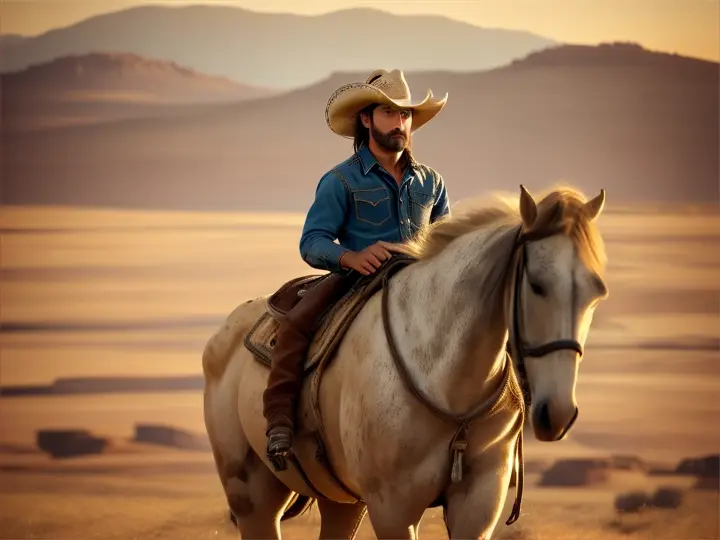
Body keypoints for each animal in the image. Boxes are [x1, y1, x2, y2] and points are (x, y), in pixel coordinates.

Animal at [201, 184, 608, 536]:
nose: (558, 414)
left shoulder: (478, 505)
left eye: (597, 291)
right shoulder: (392, 509)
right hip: (253, 497)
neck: (448, 384)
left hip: (343, 501)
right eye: (537, 285)